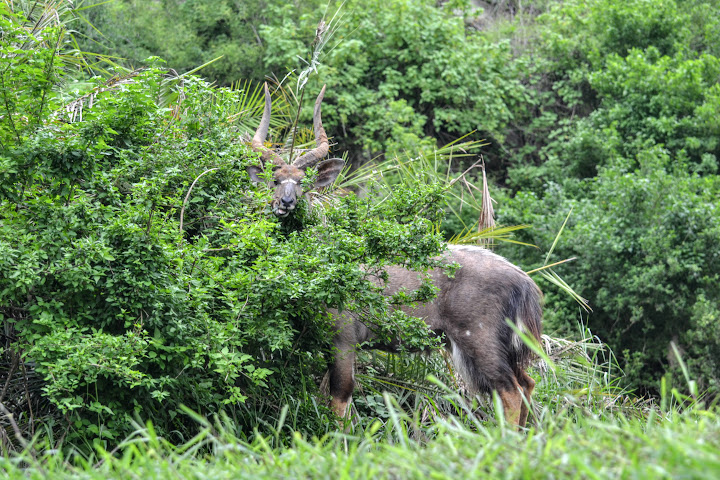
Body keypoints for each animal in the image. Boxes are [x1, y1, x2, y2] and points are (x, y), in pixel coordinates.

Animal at [246, 84, 540, 426]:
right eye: (275, 180)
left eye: (302, 183)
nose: (286, 203)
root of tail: (524, 281)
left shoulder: (343, 338)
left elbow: (340, 399)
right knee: (526, 383)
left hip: (478, 339)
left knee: (510, 391)